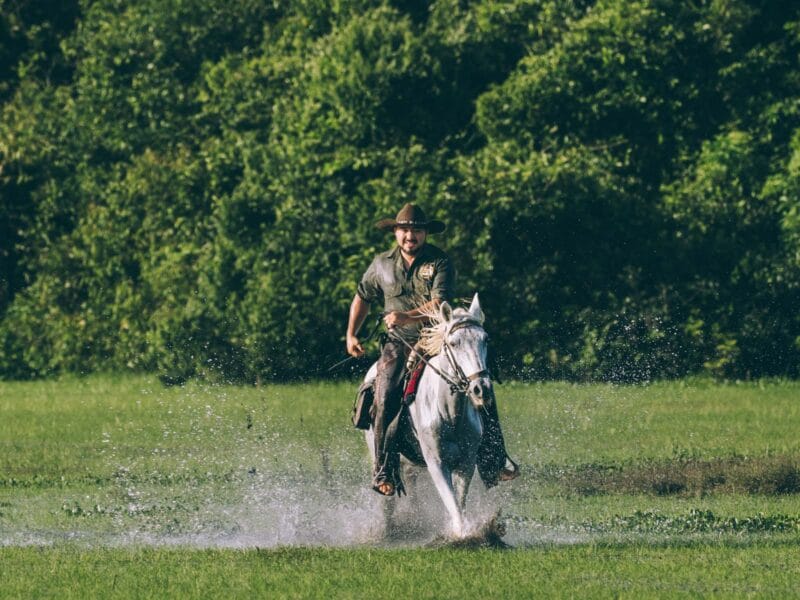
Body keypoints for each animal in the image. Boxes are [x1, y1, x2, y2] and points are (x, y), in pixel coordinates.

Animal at [363, 293, 493, 538]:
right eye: (454, 343)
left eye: (485, 339)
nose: (481, 388)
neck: (450, 413)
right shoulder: (436, 464)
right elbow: (452, 504)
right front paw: (461, 535)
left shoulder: (466, 463)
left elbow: (459, 503)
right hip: (377, 451)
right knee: (387, 500)